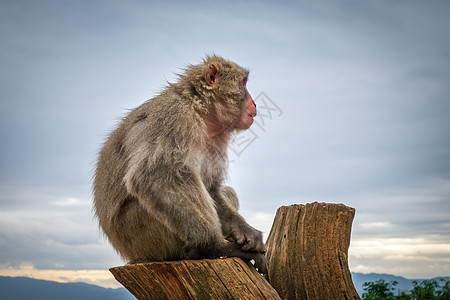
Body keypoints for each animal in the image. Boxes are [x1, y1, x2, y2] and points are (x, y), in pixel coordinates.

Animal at [92, 55, 268, 274]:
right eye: (243, 83)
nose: (254, 103)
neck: (199, 111)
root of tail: (130, 254)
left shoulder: (216, 139)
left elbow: (212, 188)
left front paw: (247, 232)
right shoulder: (174, 118)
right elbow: (150, 177)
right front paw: (214, 244)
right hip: (141, 235)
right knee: (181, 175)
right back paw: (213, 249)